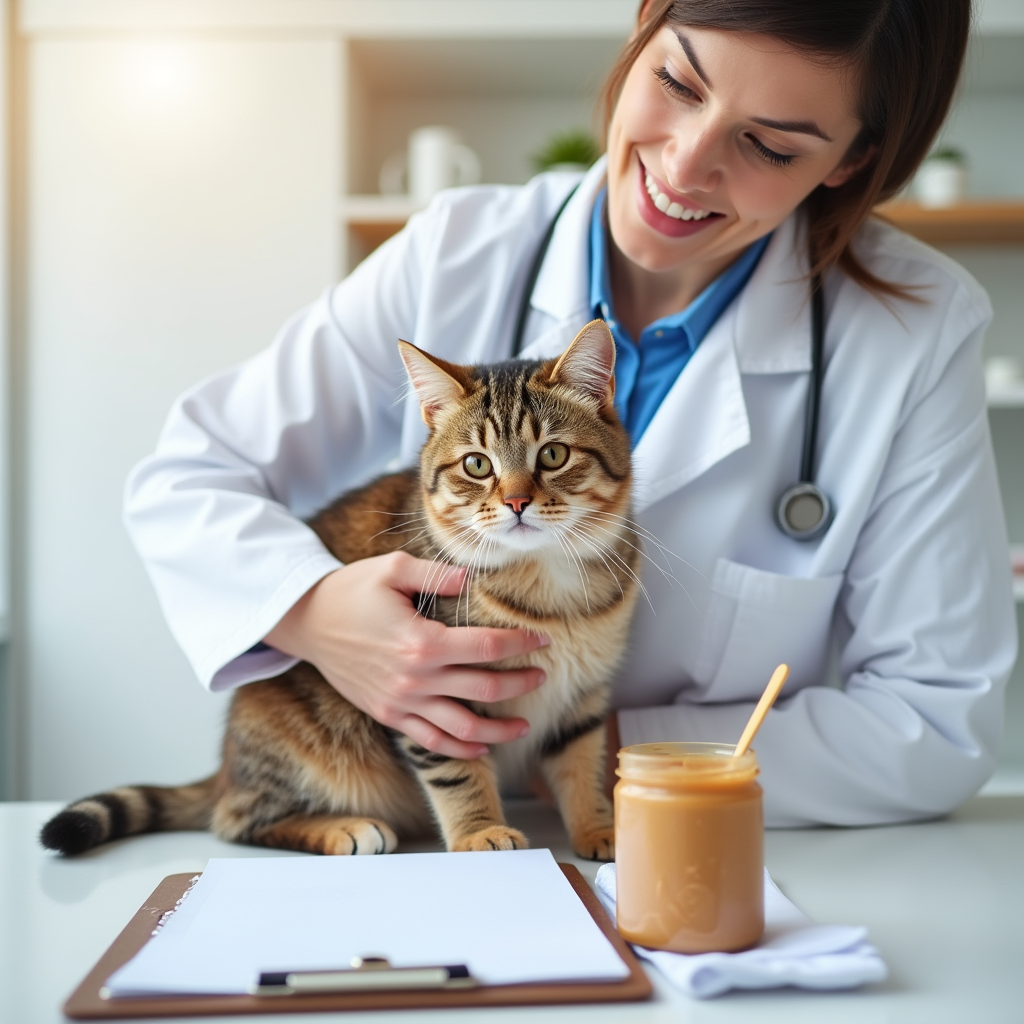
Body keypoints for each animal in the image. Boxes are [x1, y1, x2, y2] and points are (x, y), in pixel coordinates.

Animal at [41, 317, 638, 856]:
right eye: (476, 464)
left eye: (553, 454)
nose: (516, 501)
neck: (546, 578)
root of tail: (226, 766)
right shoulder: (438, 702)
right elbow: (457, 772)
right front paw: (479, 830)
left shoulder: (584, 699)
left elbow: (583, 768)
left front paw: (601, 829)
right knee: (235, 820)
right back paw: (342, 828)